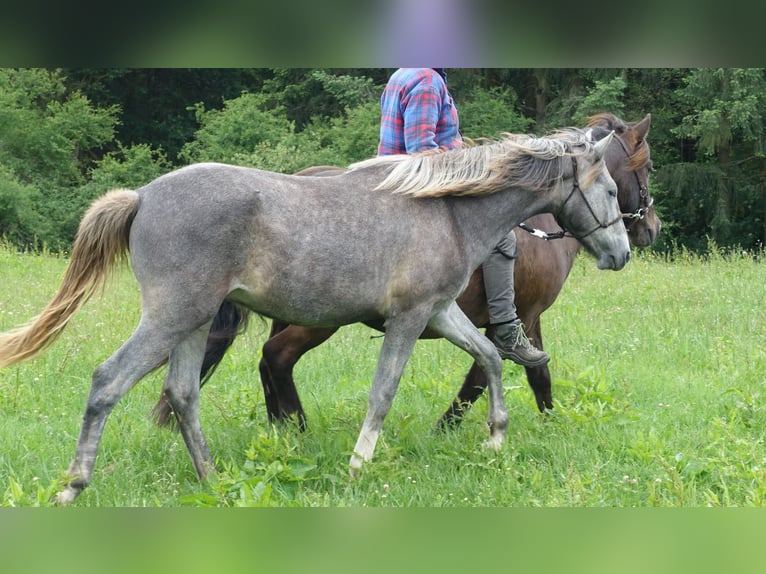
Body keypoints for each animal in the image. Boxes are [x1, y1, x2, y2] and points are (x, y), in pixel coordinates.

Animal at [0, 129, 632, 504]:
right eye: (607, 188)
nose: (623, 252)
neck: (447, 212)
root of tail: (142, 196)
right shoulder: (408, 320)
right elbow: (385, 391)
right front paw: (357, 466)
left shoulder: (442, 313)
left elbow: (493, 359)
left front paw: (496, 439)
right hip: (171, 318)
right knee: (108, 381)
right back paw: (73, 487)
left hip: (195, 323)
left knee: (182, 394)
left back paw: (214, 482)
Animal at [154, 113, 660, 432]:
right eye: (644, 168)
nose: (648, 230)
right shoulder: (519, 319)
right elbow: (498, 378)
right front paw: (454, 429)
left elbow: (519, 374)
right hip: (315, 321)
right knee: (276, 357)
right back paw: (298, 429)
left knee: (266, 362)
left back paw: (282, 429)